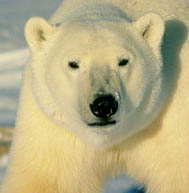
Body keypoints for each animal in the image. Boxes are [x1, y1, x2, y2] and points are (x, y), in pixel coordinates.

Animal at [0, 0, 188, 193]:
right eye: (73, 63)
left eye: (123, 61)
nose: (104, 105)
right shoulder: (54, 128)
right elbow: (44, 179)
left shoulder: (168, 120)